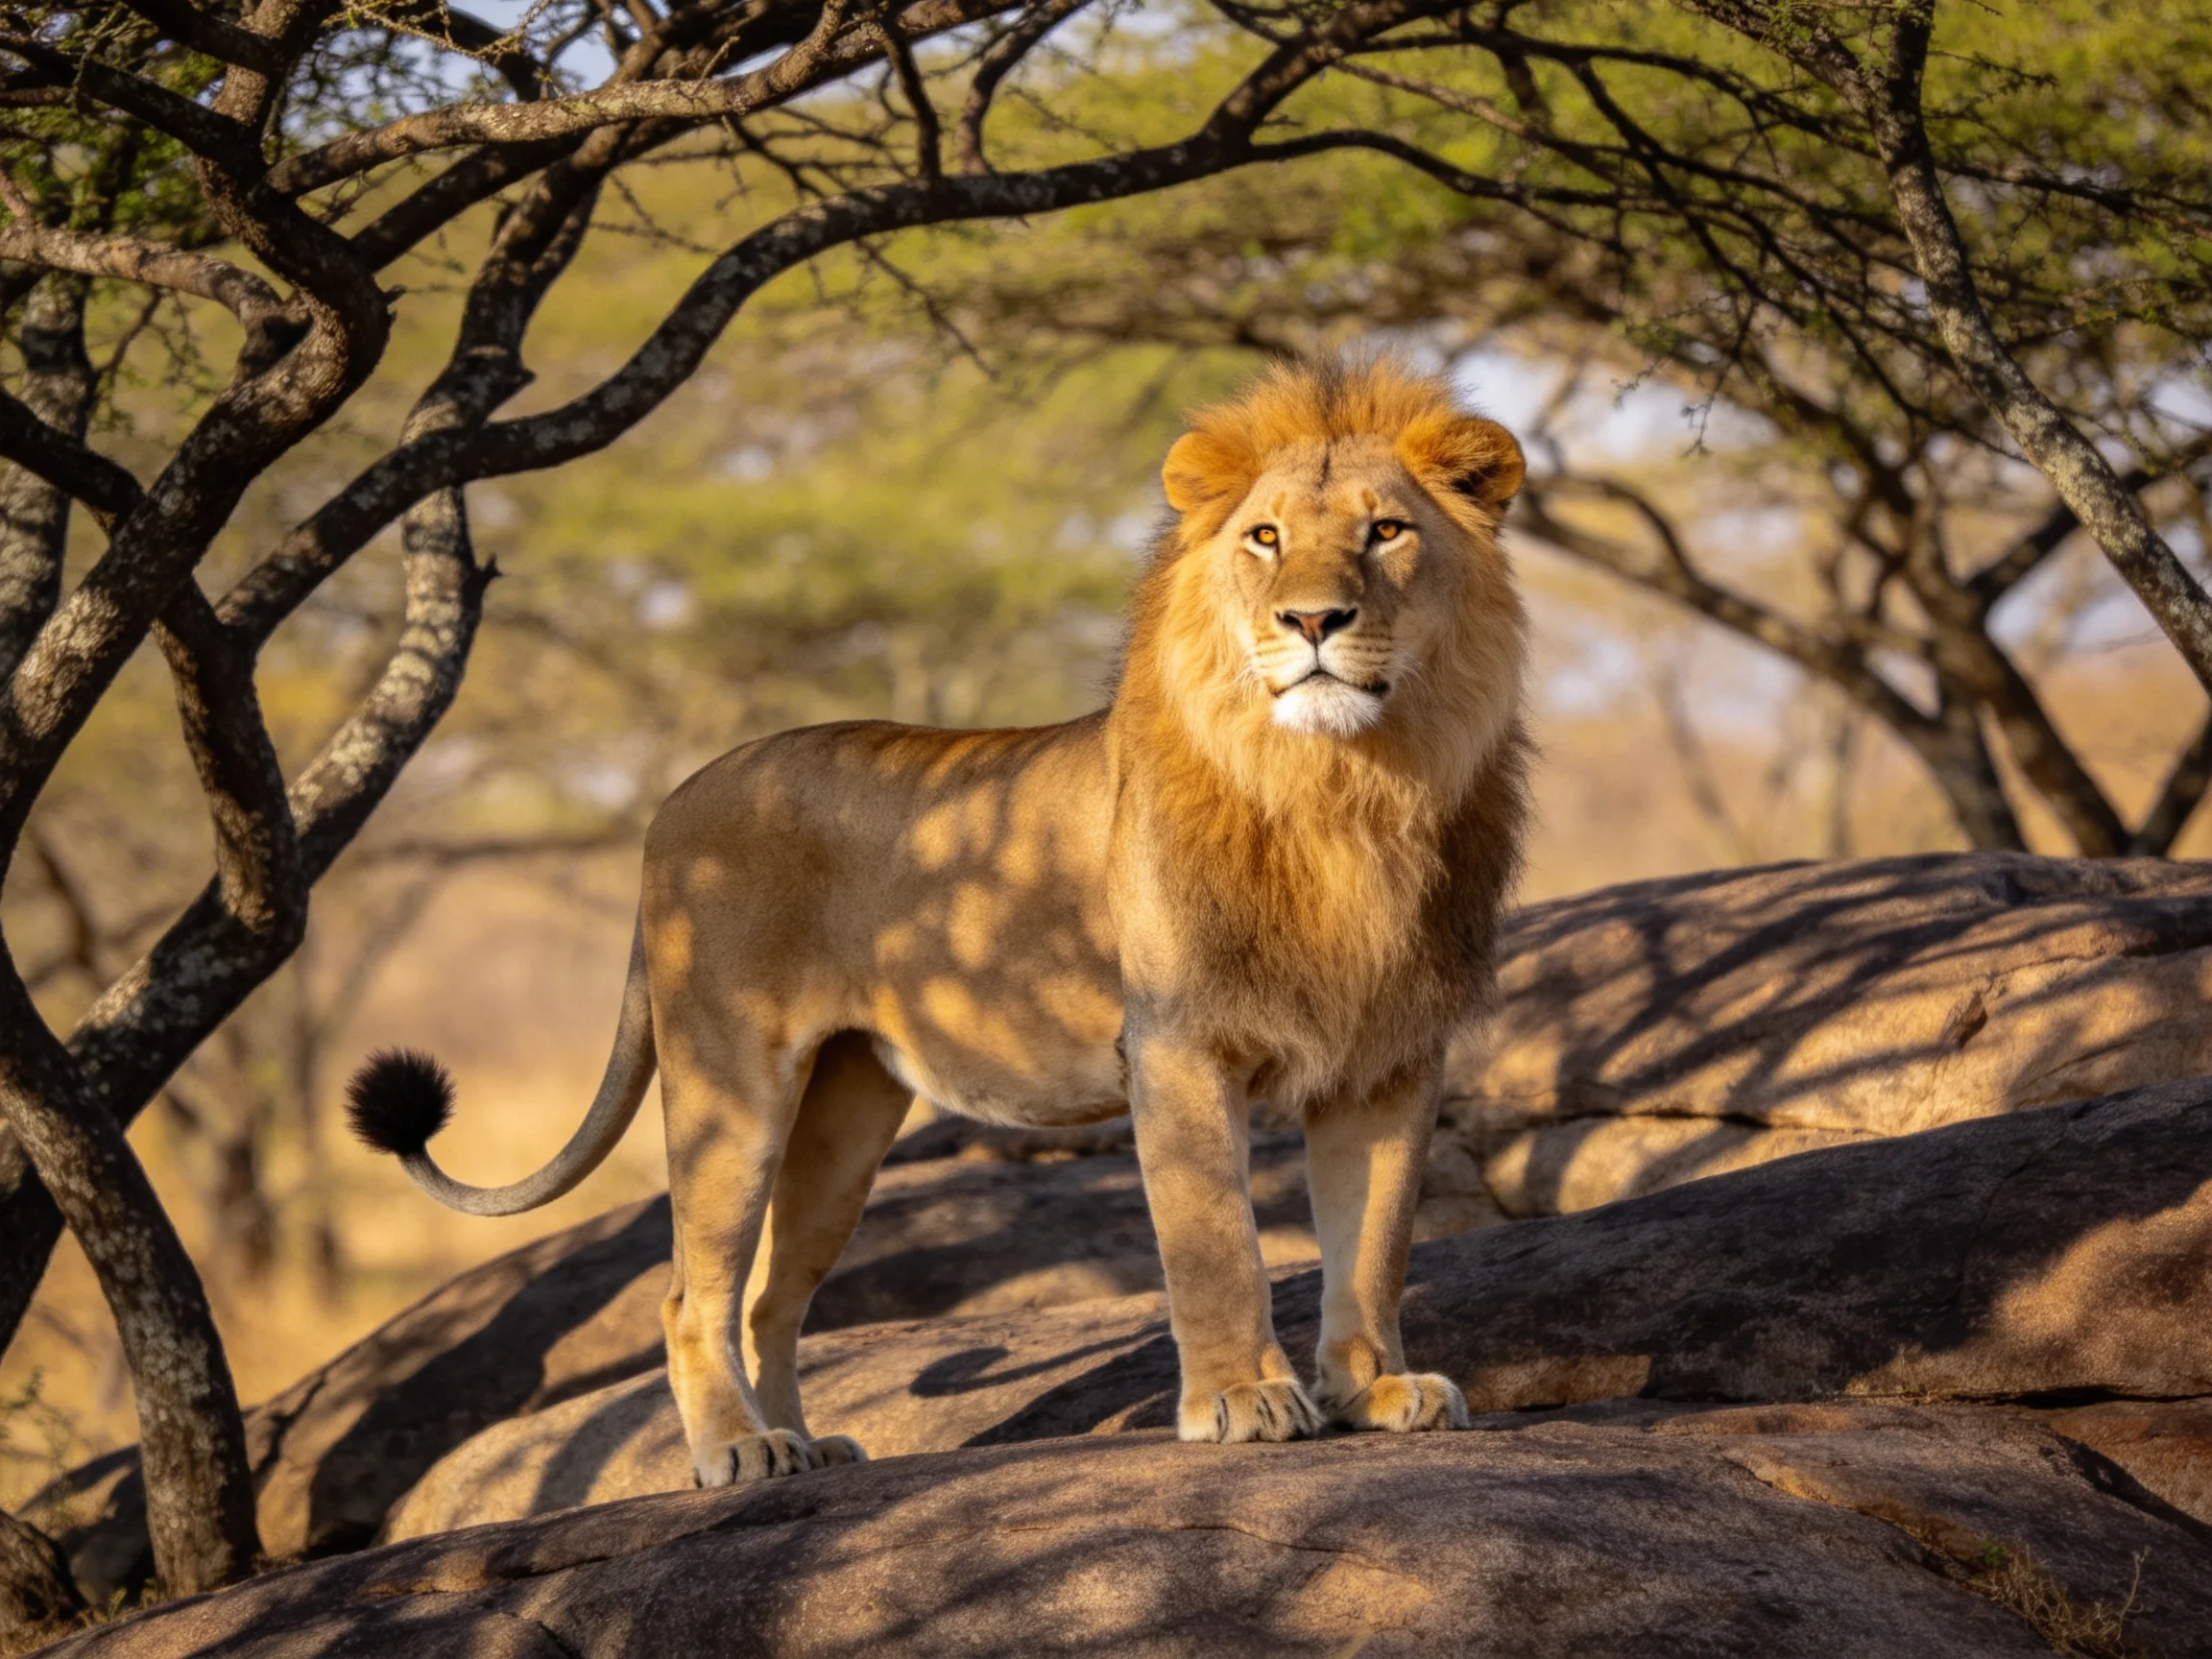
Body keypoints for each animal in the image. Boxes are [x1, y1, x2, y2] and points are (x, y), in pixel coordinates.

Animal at [347, 357, 1530, 1488]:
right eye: (1266, 538)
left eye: (1386, 532)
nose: (1314, 621)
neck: (1346, 789)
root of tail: (673, 802)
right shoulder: (1177, 1042)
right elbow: (1213, 1242)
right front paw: (1242, 1400)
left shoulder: (1389, 1057)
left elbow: (1374, 1241)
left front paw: (1375, 1390)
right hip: (729, 1083)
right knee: (692, 1295)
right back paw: (738, 1453)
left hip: (846, 1119)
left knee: (772, 1299)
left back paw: (803, 1443)